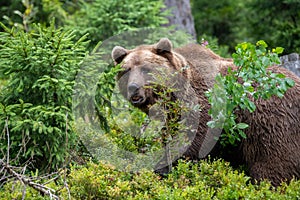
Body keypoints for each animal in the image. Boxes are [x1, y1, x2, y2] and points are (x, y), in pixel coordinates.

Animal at [111, 38, 298, 186]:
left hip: (271, 122)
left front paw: (164, 167)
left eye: (145, 69)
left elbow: (193, 141)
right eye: (126, 70)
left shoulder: (204, 107)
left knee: (273, 165)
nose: (133, 88)